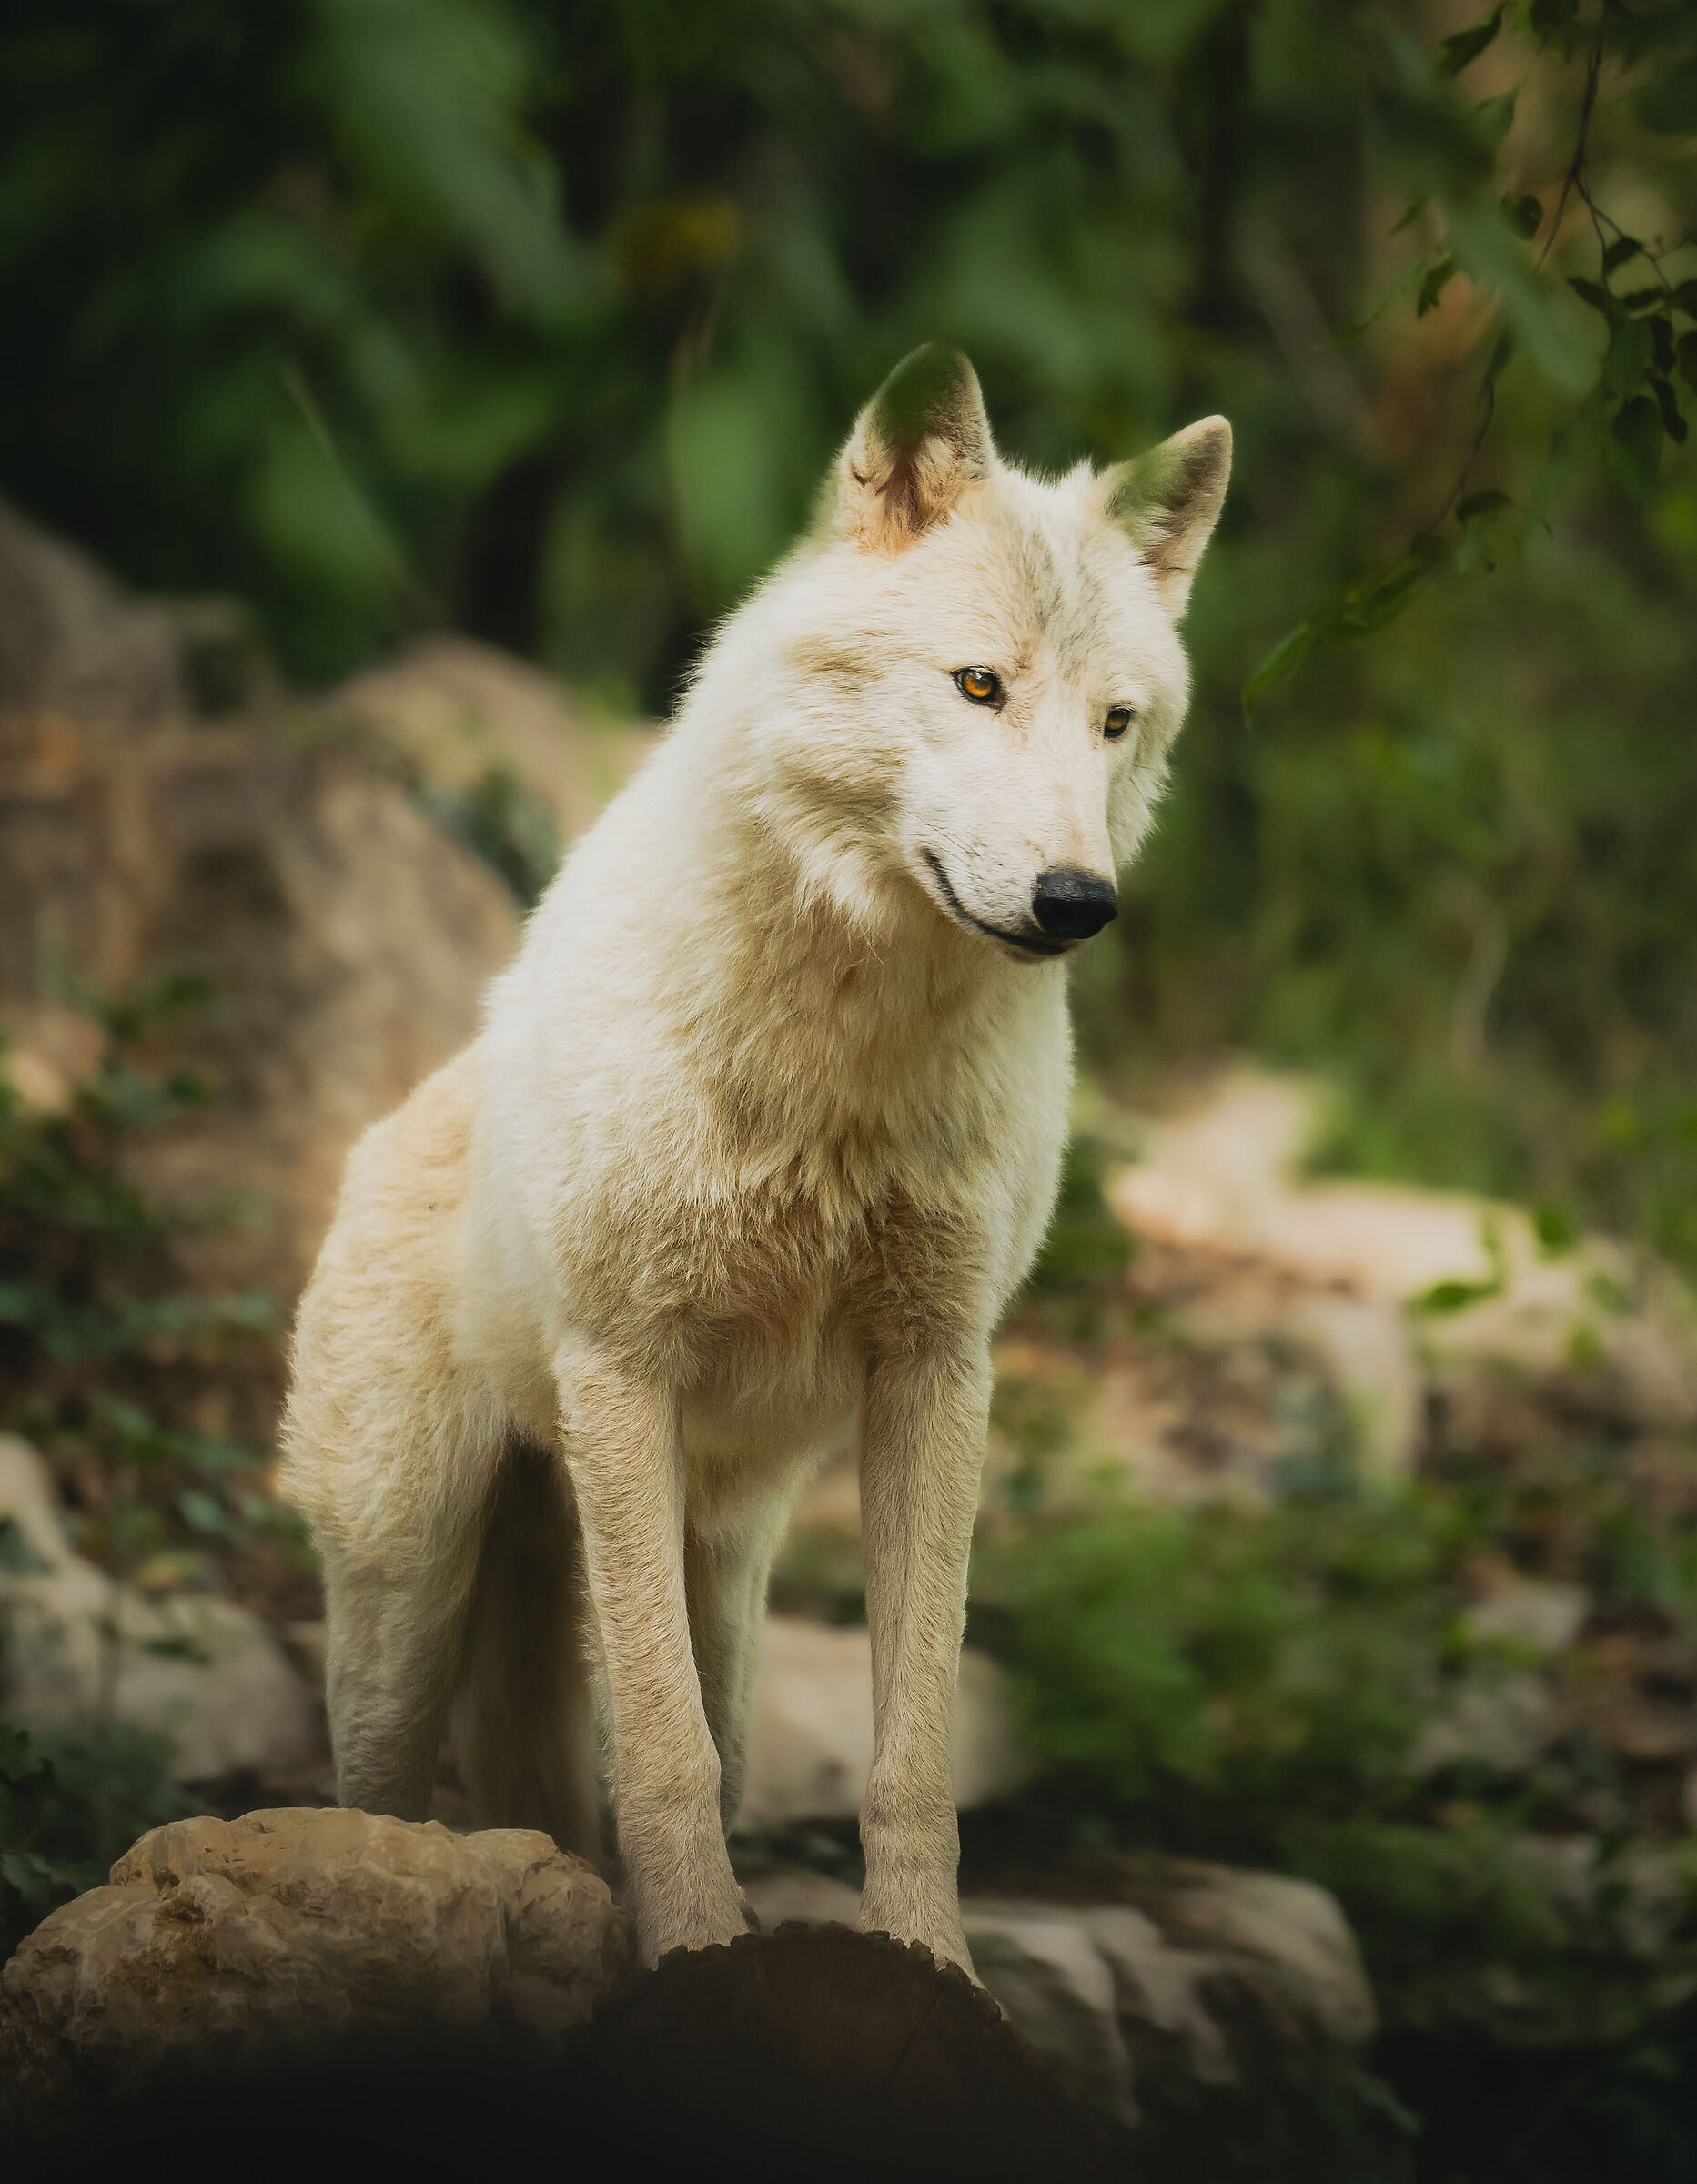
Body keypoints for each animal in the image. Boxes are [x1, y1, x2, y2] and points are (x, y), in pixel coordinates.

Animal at [280, 346, 1230, 1974]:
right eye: (979, 685)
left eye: (1114, 721)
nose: (1075, 900)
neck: (844, 1062)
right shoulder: (619, 1367)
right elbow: (662, 1758)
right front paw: (699, 1962)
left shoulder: (937, 1376)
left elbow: (908, 1758)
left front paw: (929, 1973)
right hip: (413, 1600)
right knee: (395, 1795)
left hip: (717, 1565)